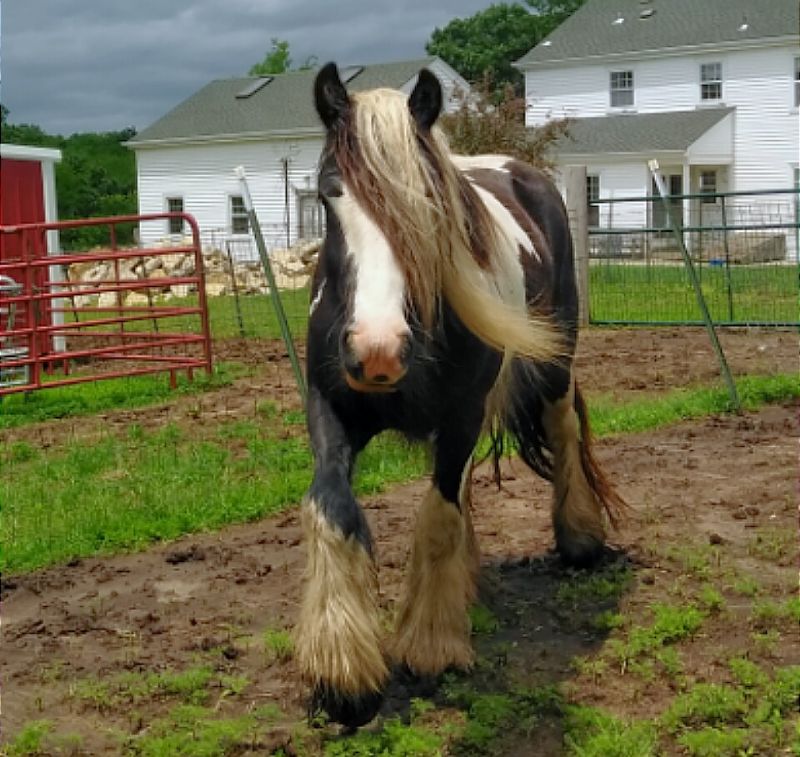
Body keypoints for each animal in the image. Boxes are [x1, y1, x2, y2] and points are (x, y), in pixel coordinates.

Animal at [294, 63, 624, 728]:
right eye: (328, 194)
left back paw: (578, 536)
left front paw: (431, 645)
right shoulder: (330, 409)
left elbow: (440, 517)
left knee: (561, 429)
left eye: (426, 201)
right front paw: (343, 674)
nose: (377, 350)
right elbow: (334, 510)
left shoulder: (463, 414)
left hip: (554, 362)